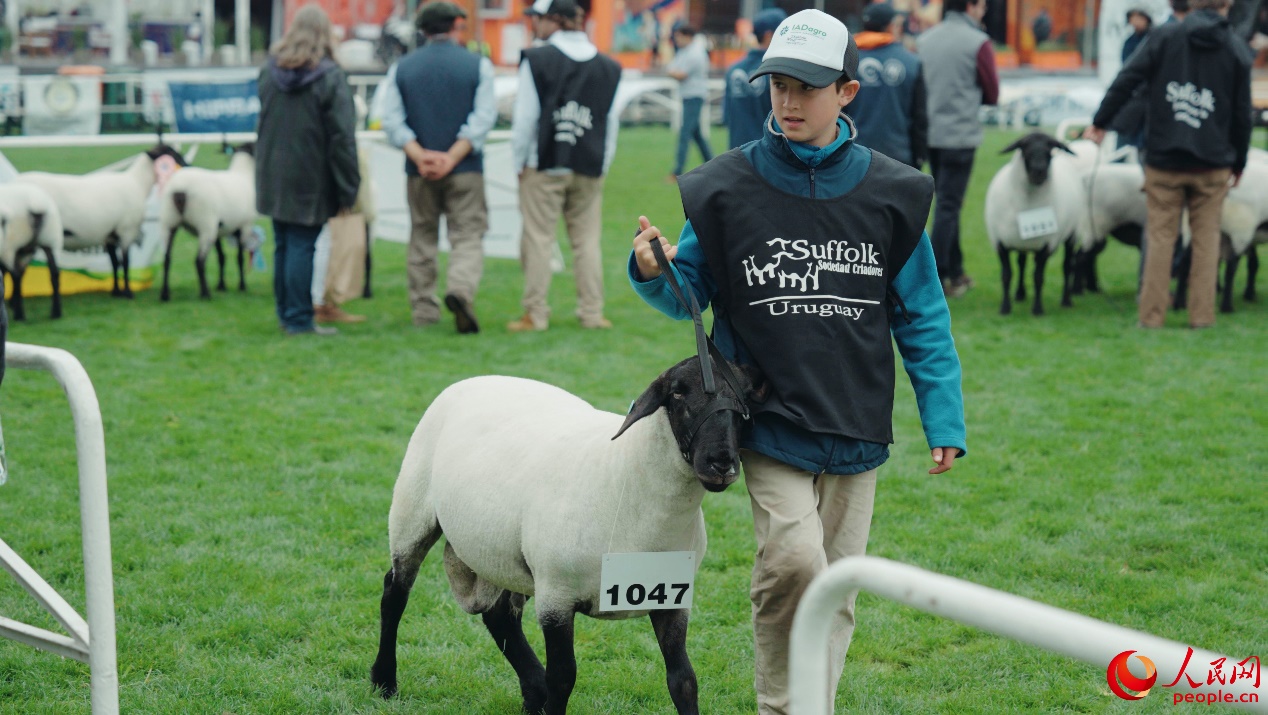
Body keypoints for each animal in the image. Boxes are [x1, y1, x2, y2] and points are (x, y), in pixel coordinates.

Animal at [0, 181, 64, 320]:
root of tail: (36, 203)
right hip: (51, 239)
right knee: (54, 274)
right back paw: (56, 313)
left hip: (11, 243)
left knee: (16, 275)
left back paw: (19, 315)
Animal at [15, 145, 185, 299]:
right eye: (170, 153)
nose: (186, 165)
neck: (138, 183)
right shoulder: (126, 231)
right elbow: (125, 262)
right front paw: (128, 293)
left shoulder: (109, 235)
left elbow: (115, 263)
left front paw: (116, 292)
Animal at [156, 142, 257, 301]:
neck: (243, 174)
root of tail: (180, 189)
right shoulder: (244, 226)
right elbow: (239, 258)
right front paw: (242, 286)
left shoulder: (219, 230)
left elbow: (222, 257)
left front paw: (221, 286)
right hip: (205, 225)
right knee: (199, 261)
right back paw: (205, 293)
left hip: (169, 222)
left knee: (167, 258)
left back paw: (165, 295)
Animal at [370, 357, 760, 715]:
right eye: (677, 392)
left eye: (746, 396)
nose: (721, 463)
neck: (626, 478)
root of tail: (481, 377)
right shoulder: (557, 596)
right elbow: (563, 677)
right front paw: (551, 696)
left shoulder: (671, 596)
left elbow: (683, 680)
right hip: (412, 512)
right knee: (395, 593)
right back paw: (384, 683)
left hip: (504, 553)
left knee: (499, 616)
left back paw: (533, 695)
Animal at [978, 131, 1090, 315]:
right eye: (1025, 149)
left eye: (1049, 151)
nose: (1039, 172)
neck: (1028, 204)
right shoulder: (1000, 243)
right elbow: (1006, 275)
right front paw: (1005, 308)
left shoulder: (1046, 245)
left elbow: (1038, 278)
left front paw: (1037, 309)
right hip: (1021, 240)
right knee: (1022, 263)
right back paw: (1020, 294)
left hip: (1072, 234)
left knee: (1067, 266)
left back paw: (1066, 300)